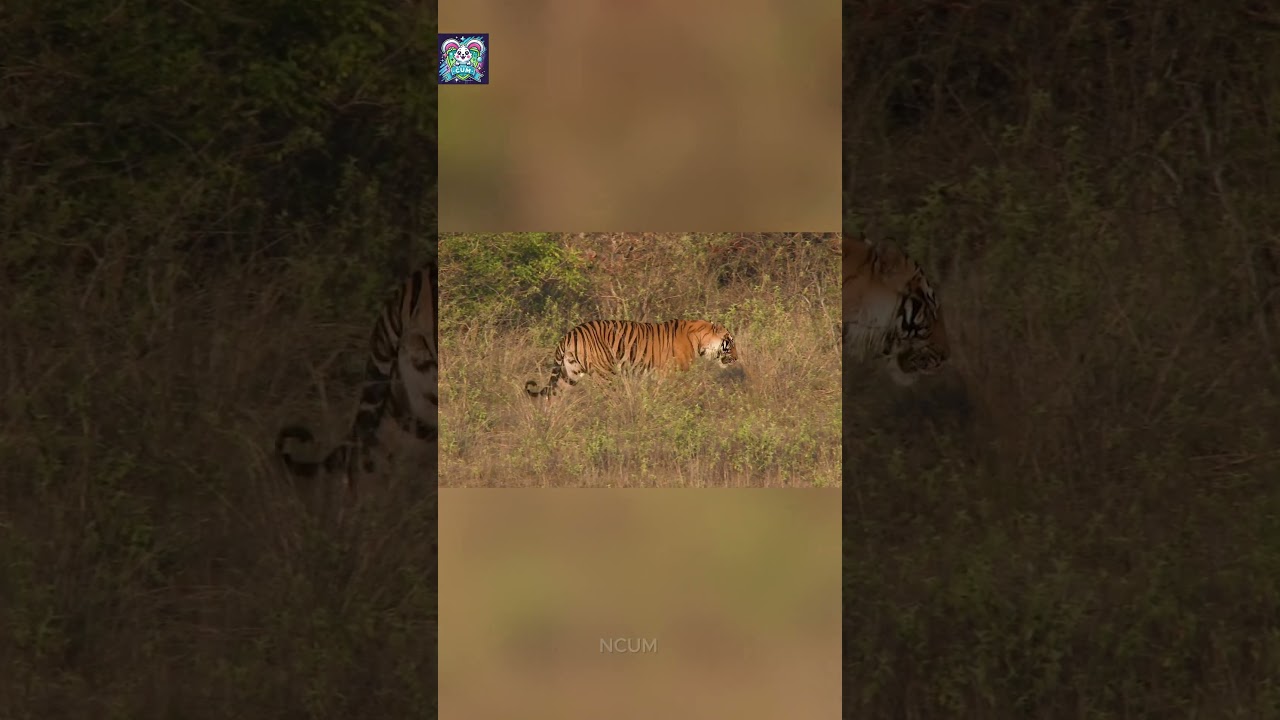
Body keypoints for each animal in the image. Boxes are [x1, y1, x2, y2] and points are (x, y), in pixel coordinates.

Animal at [524, 319, 739, 399]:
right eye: (730, 342)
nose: (737, 358)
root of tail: (570, 334)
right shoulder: (672, 374)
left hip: (569, 374)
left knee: (552, 399)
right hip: (605, 373)